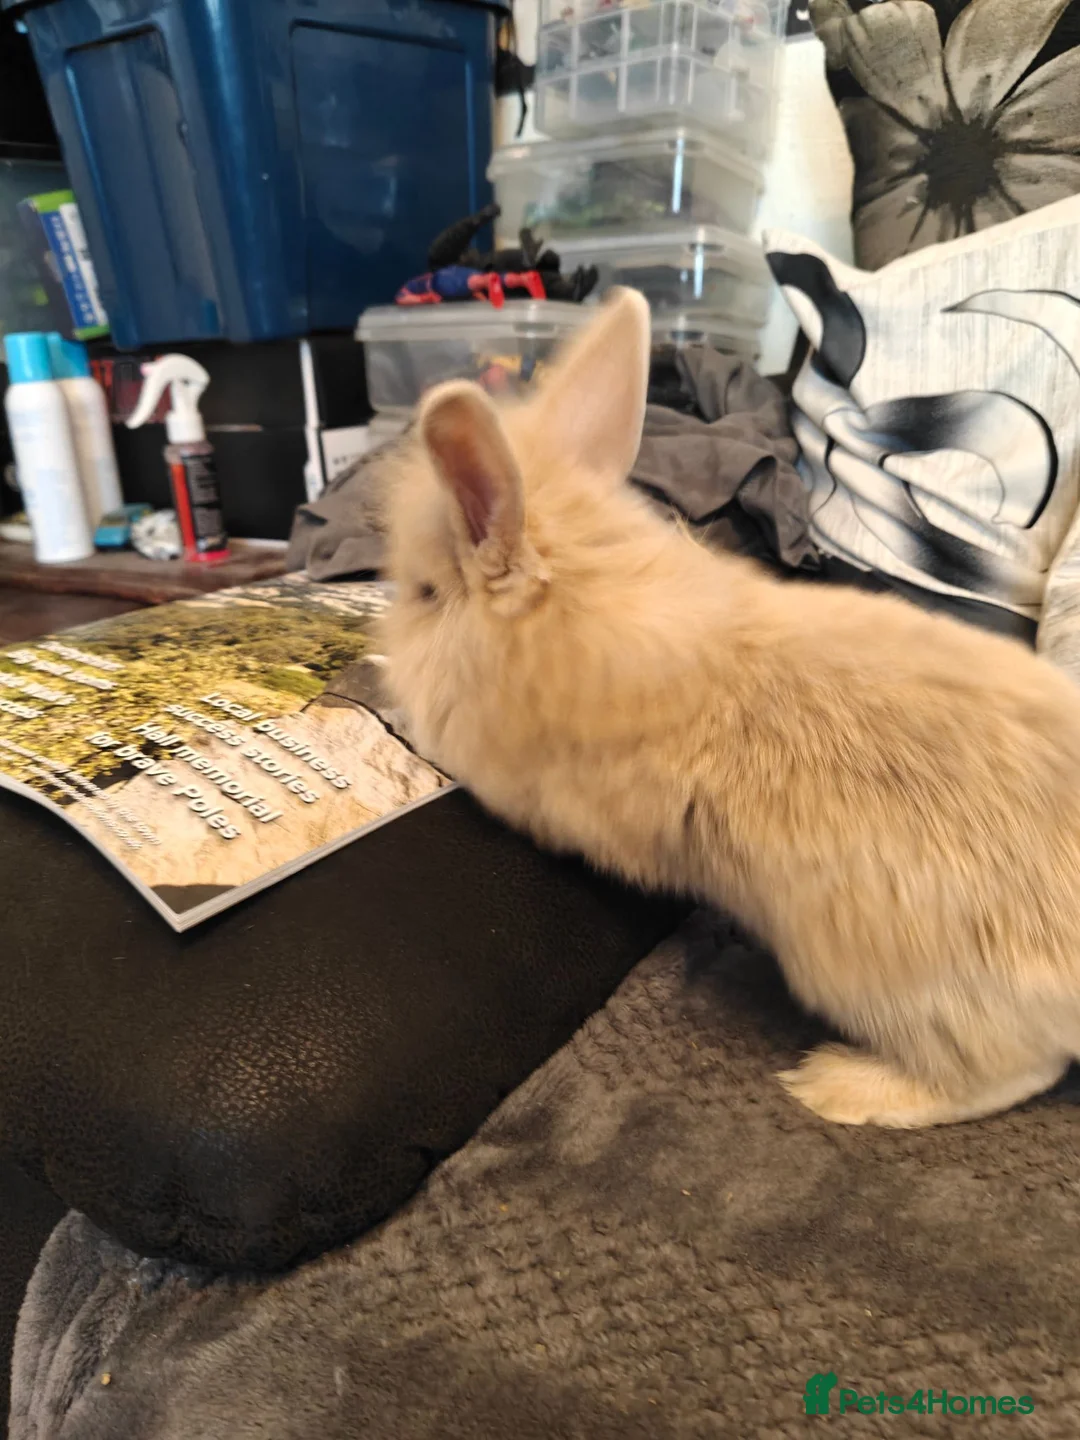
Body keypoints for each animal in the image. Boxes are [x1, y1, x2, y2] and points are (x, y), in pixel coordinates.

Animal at [378, 287, 1080, 1129]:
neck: (581, 591)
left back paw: (833, 1085)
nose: (381, 644)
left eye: (424, 593)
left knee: (1010, 1074)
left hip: (875, 978)